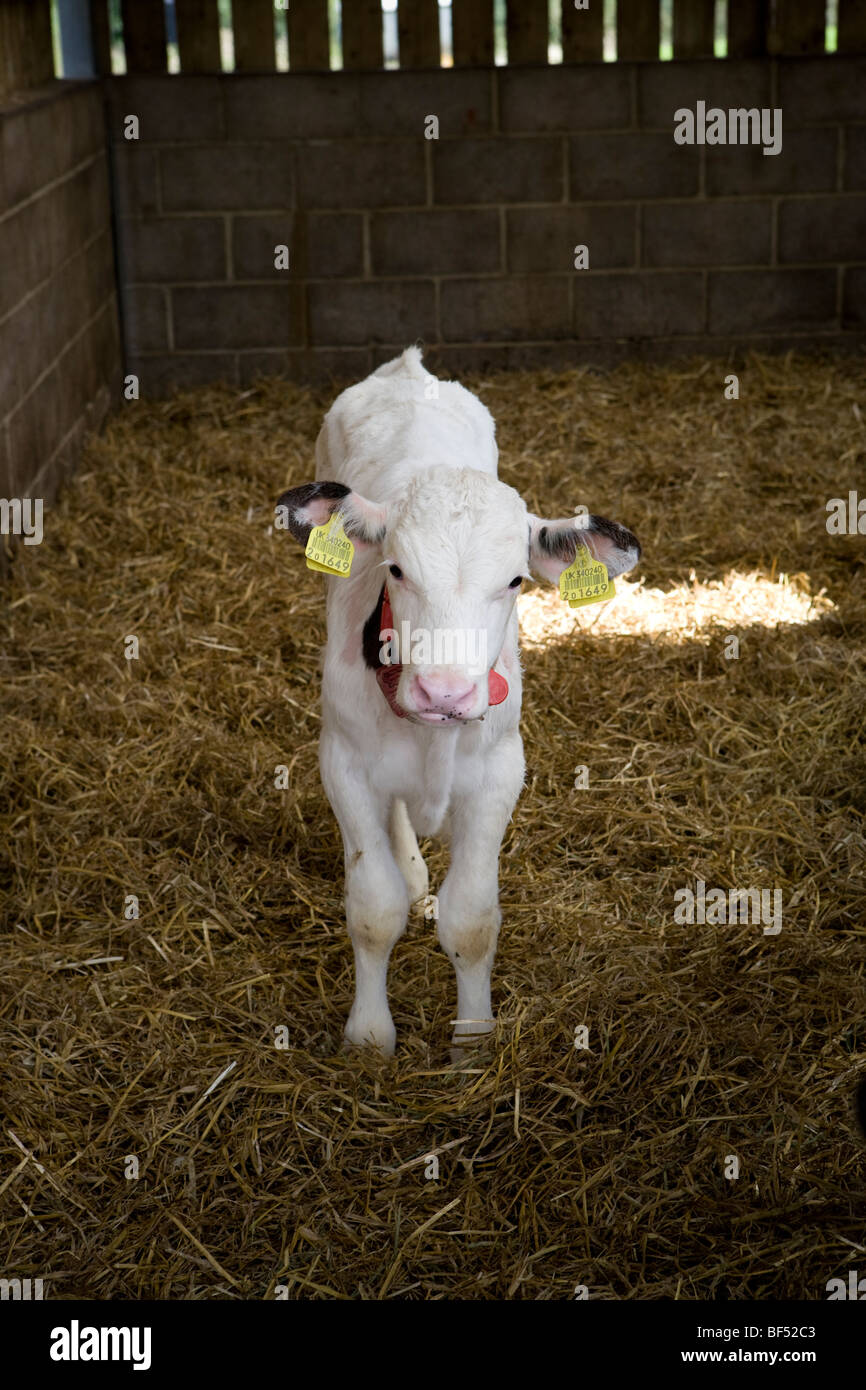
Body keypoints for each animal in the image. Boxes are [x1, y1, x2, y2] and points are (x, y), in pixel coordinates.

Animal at [279, 347, 644, 1050]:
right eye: (395, 568)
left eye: (516, 580)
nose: (444, 691)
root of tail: (407, 368)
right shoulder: (342, 762)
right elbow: (374, 908)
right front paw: (370, 1037)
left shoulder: (500, 772)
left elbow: (471, 920)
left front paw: (473, 1039)